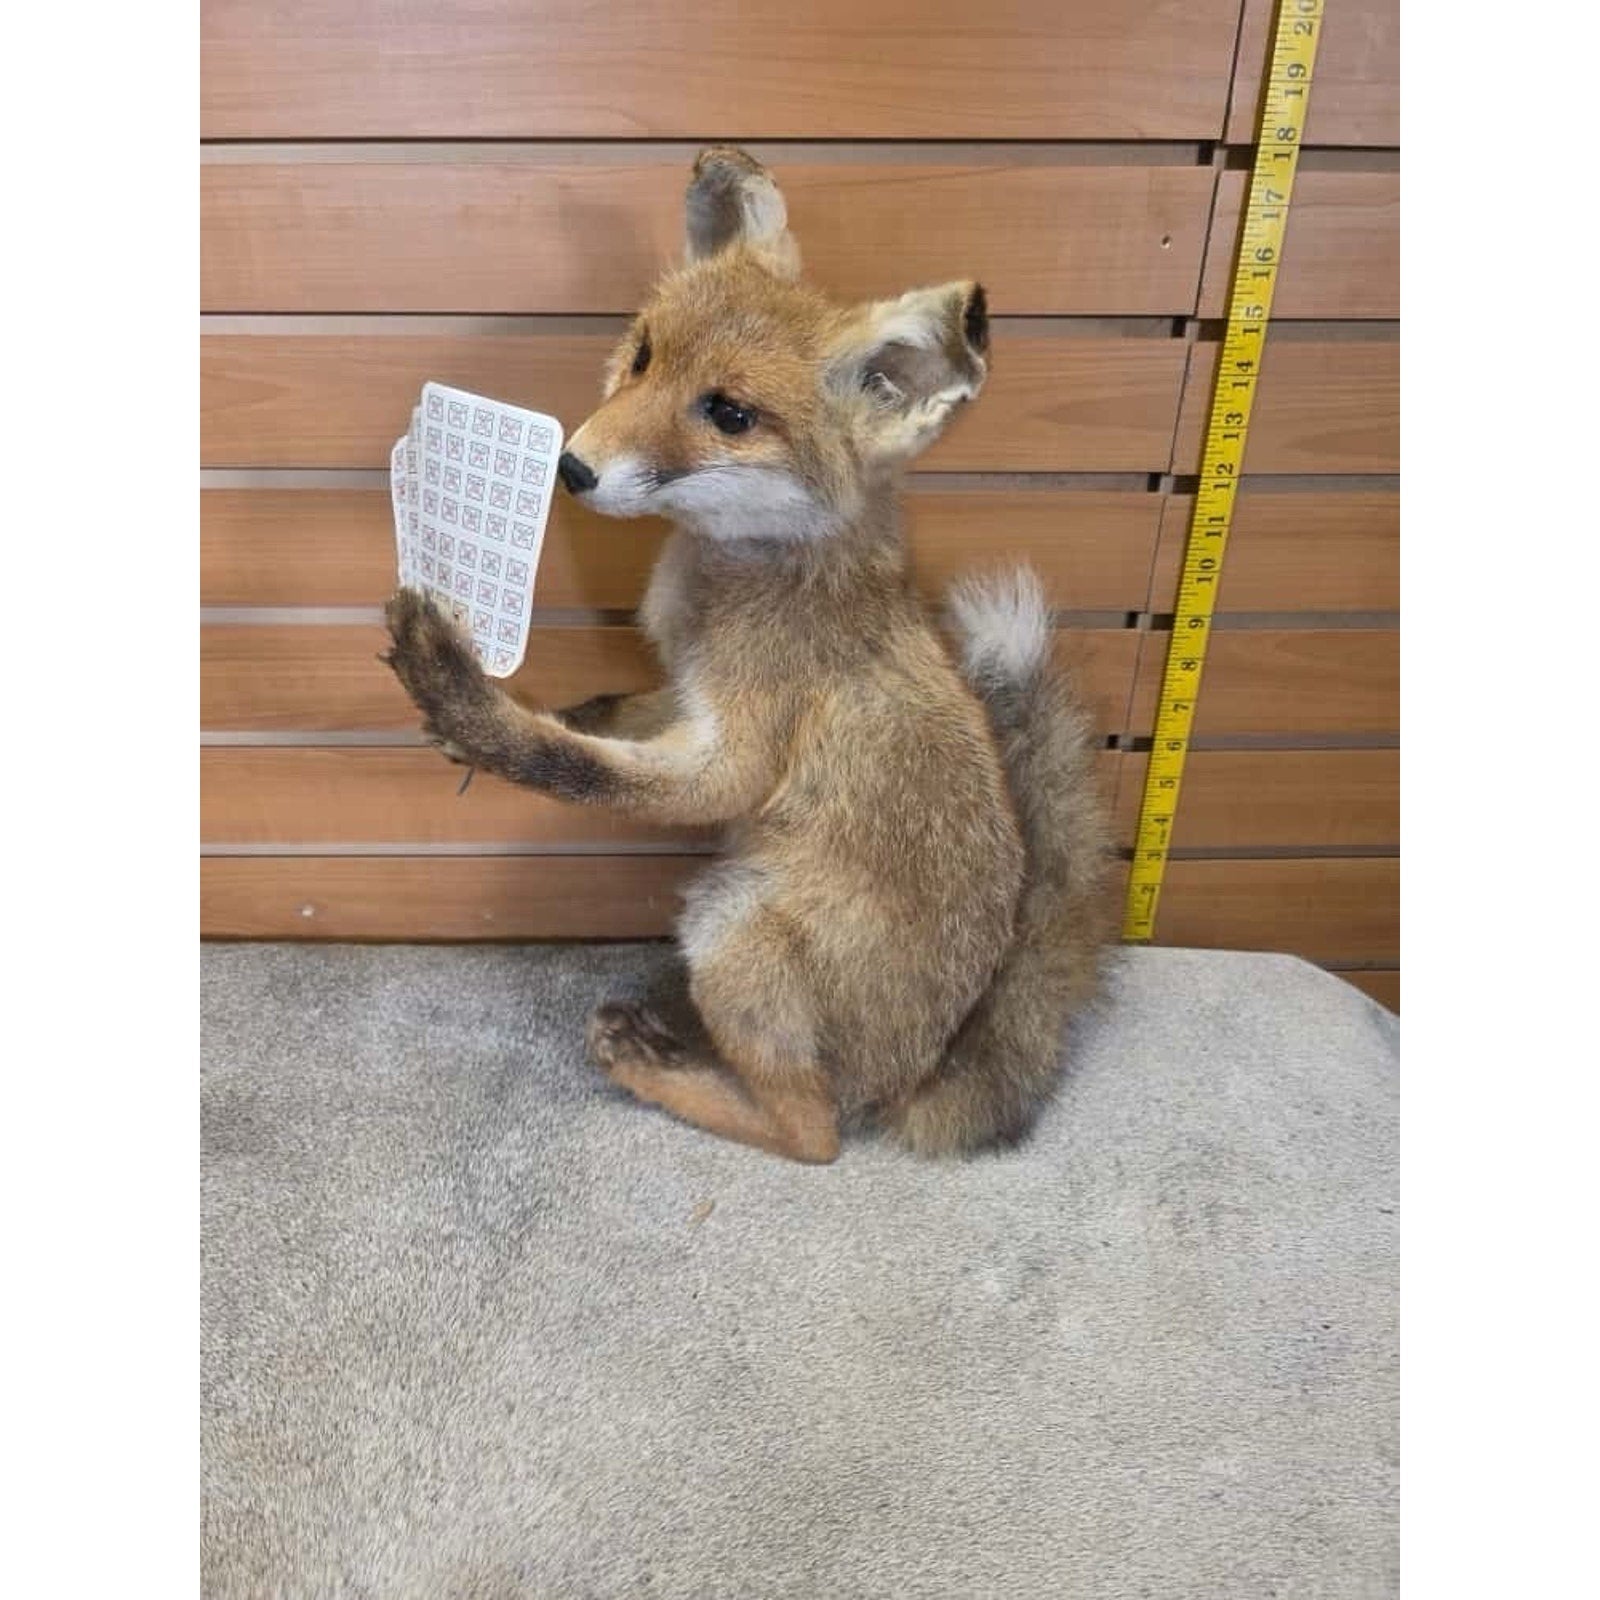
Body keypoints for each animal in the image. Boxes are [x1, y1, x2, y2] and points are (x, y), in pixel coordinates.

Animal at [383, 145, 1113, 1164]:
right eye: (643, 355)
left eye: (728, 413)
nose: (569, 467)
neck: (731, 585)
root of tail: (929, 1070)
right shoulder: (687, 691)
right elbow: (607, 719)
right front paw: (513, 719)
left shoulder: (740, 750)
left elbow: (587, 770)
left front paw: (463, 701)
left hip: (731, 926)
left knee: (813, 1131)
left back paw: (655, 1066)